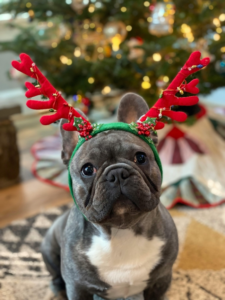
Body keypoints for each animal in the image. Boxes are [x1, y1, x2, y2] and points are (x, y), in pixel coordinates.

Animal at [40, 93, 178, 300]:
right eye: (87, 169)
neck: (121, 231)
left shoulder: (160, 280)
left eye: (140, 157)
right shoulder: (77, 287)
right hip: (48, 248)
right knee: (55, 276)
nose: (117, 173)